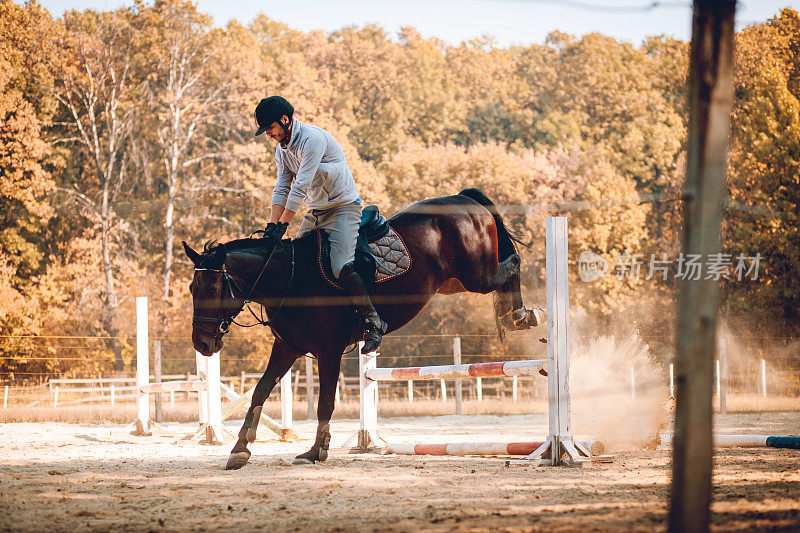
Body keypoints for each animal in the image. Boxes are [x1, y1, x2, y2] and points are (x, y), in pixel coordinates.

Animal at [182, 189, 544, 468]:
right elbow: (259, 391)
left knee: (512, 264)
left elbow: (325, 402)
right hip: (455, 282)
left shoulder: (328, 351)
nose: (202, 344)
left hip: (477, 275)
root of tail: (462, 197)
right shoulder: (288, 347)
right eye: (191, 288)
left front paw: (316, 451)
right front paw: (240, 449)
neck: (291, 277)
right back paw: (513, 316)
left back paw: (522, 315)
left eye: (211, 288)